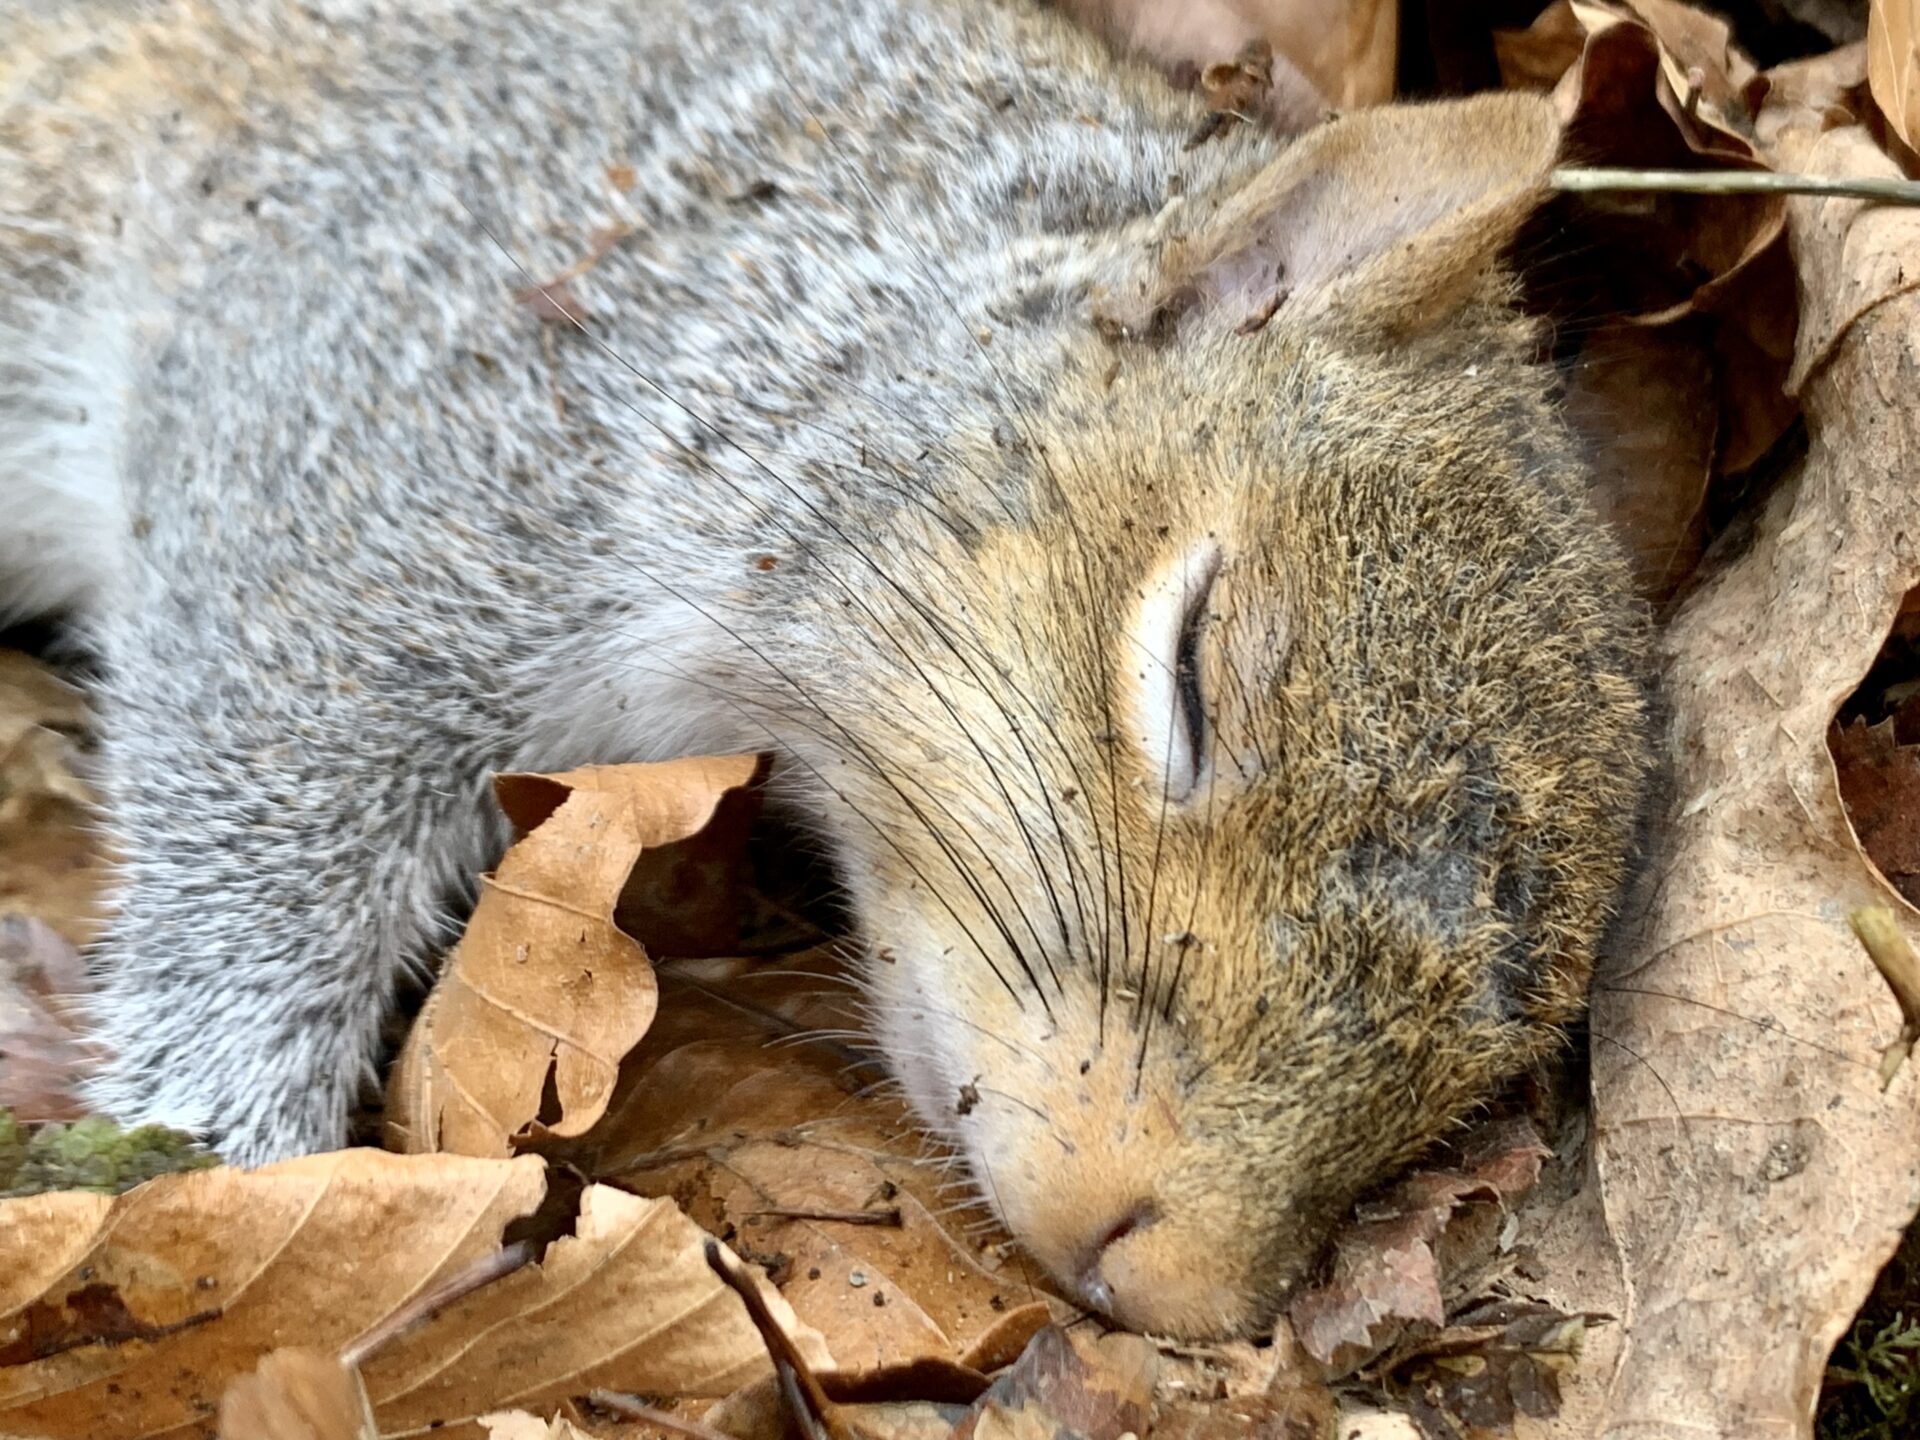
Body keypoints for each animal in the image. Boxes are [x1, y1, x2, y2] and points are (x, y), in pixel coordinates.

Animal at [1, 0, 1653, 1338]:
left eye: (1490, 1070)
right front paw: (208, 1159)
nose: (1172, 1282)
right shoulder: (365, 446)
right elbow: (253, 835)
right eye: (1193, 671)